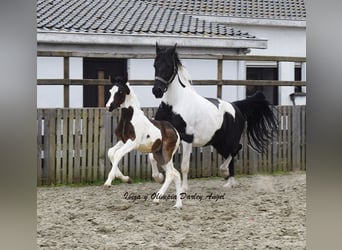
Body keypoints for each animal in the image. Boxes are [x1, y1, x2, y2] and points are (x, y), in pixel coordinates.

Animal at [104, 75, 183, 207]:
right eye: (110, 91)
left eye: (120, 92)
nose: (108, 107)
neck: (129, 118)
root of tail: (175, 131)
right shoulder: (123, 140)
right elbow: (111, 152)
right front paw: (126, 178)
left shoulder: (133, 142)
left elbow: (118, 154)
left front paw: (108, 182)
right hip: (158, 155)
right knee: (176, 174)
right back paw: (178, 205)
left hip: (166, 152)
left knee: (171, 174)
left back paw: (157, 198)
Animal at [152, 44, 278, 190]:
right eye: (155, 64)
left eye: (168, 66)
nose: (157, 91)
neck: (174, 105)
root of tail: (236, 106)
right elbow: (153, 158)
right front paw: (159, 178)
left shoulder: (187, 139)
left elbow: (184, 166)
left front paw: (183, 188)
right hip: (219, 142)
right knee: (231, 153)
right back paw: (229, 181)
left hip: (228, 140)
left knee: (236, 149)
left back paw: (225, 173)